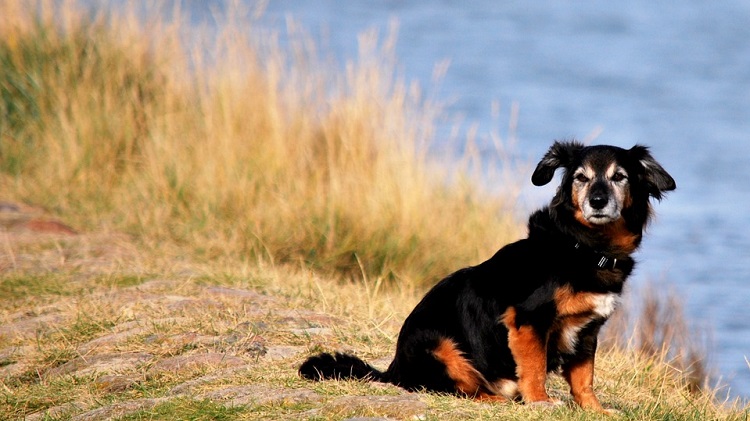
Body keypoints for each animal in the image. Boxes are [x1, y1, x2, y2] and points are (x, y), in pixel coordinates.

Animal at [298, 140, 676, 410]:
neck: (585, 247)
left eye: (619, 177)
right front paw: (540, 401)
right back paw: (497, 398)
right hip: (437, 345)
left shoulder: (588, 330)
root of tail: (394, 370)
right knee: (457, 390)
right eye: (581, 178)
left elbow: (585, 378)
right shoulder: (527, 319)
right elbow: (534, 366)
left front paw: (594, 409)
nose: (597, 201)